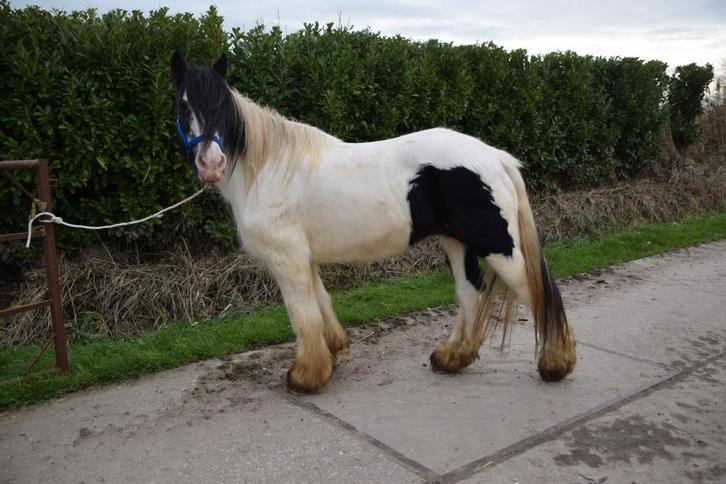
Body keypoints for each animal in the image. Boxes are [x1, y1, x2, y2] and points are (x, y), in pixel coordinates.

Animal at [171, 52, 576, 393]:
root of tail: (494, 156)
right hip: (456, 244)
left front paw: (306, 377)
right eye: (184, 104)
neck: (271, 168)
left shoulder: (287, 261)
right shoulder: (305, 259)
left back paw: (556, 364)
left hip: (497, 246)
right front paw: (334, 354)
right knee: (469, 295)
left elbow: (302, 315)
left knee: (534, 291)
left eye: (223, 107)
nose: (211, 164)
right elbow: (321, 304)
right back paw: (451, 358)